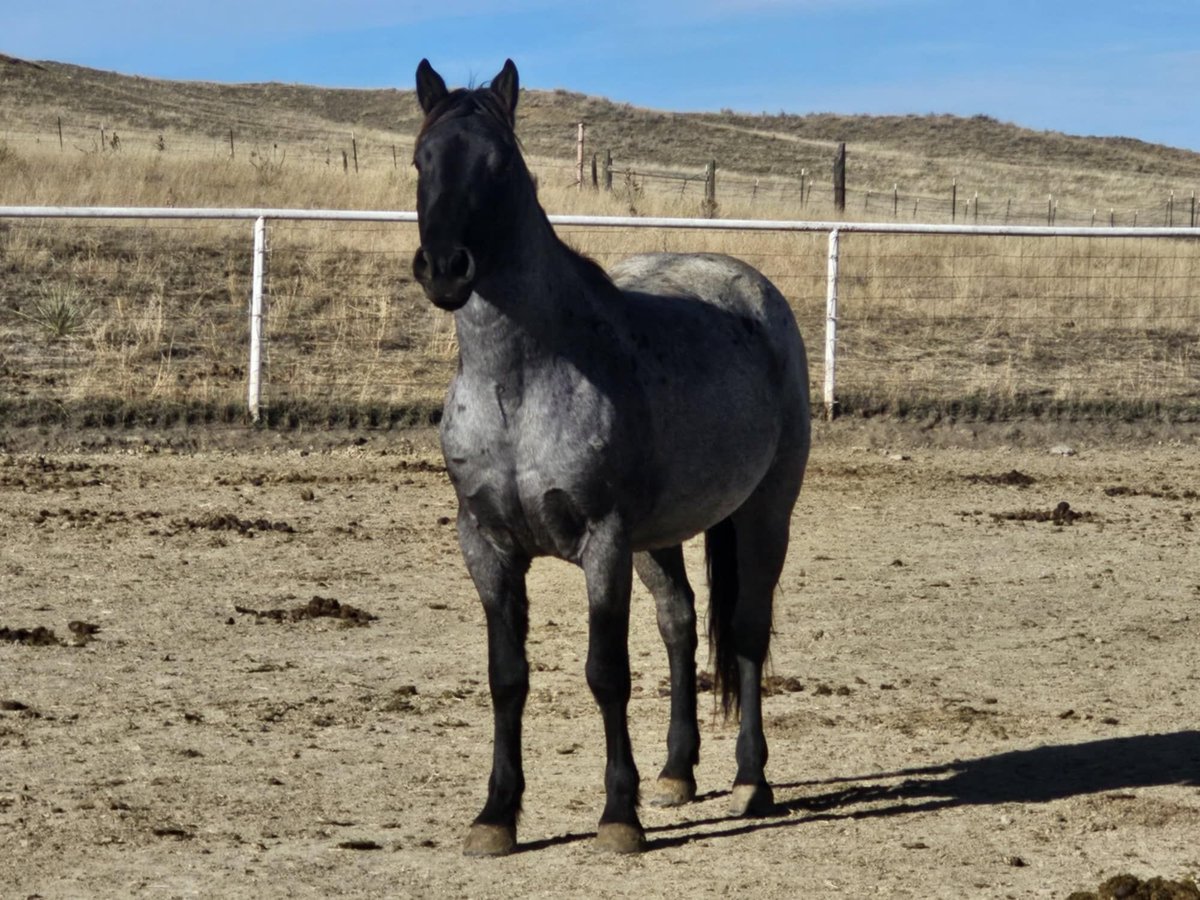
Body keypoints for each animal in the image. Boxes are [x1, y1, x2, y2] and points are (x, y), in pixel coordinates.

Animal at [412, 60, 816, 854]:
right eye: (422, 160)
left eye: (498, 166)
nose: (446, 269)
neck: (521, 382)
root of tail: (758, 295)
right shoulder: (486, 546)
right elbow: (507, 675)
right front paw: (496, 816)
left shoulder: (601, 542)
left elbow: (607, 673)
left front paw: (617, 816)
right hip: (656, 539)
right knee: (681, 622)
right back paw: (677, 772)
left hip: (764, 514)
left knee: (747, 632)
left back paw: (752, 781)